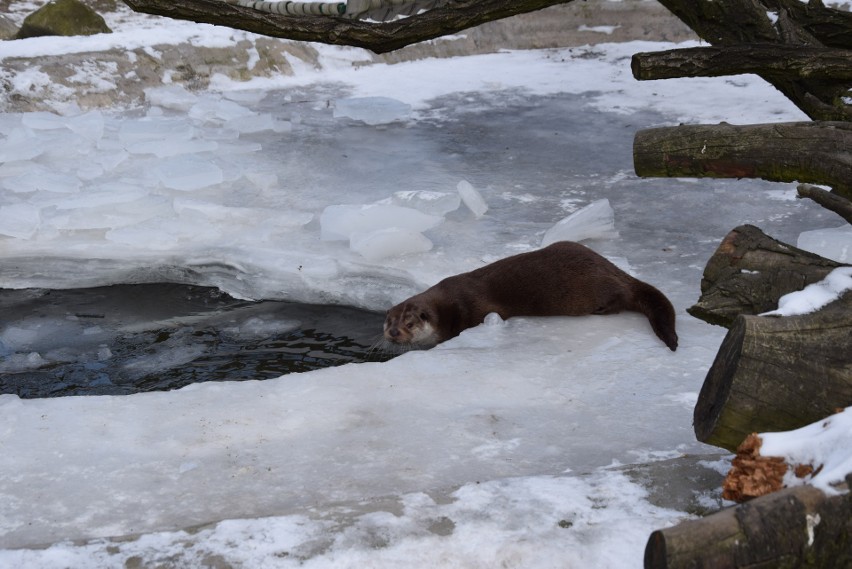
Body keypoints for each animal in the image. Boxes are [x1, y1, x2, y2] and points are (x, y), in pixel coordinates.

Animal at [386, 241, 680, 350]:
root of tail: (609, 266)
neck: (447, 307)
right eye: (388, 322)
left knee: (621, 297)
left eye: (409, 323)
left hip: (593, 288)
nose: (393, 333)